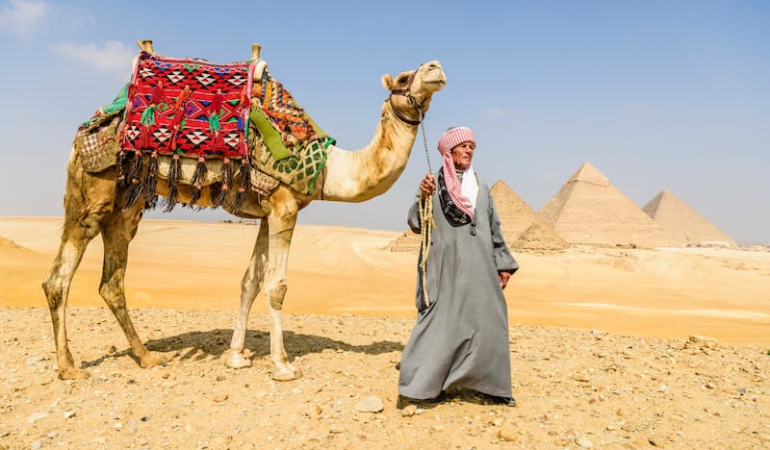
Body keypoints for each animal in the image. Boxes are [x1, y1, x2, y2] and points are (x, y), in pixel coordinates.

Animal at [42, 40, 446, 381]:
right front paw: (282, 365)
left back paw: (147, 356)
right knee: (59, 278)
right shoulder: (284, 205)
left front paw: (236, 356)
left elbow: (249, 282)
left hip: (127, 204)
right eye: (405, 77)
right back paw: (68, 367)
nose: (436, 66)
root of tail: (85, 131)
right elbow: (276, 286)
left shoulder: (267, 213)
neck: (328, 168)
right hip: (94, 191)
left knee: (111, 281)